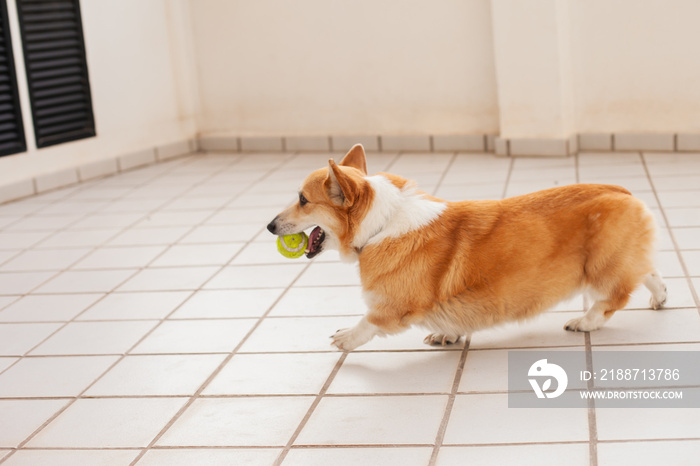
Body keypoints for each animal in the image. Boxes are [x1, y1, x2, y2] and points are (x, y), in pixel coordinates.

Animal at [266, 145, 664, 350]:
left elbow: (368, 323)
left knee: (614, 297)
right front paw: (448, 333)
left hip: (599, 267)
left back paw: (584, 321)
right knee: (647, 271)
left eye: (302, 200)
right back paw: (660, 297)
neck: (382, 223)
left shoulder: (392, 307)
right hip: (621, 259)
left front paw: (345, 338)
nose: (269, 226)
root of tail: (622, 191)